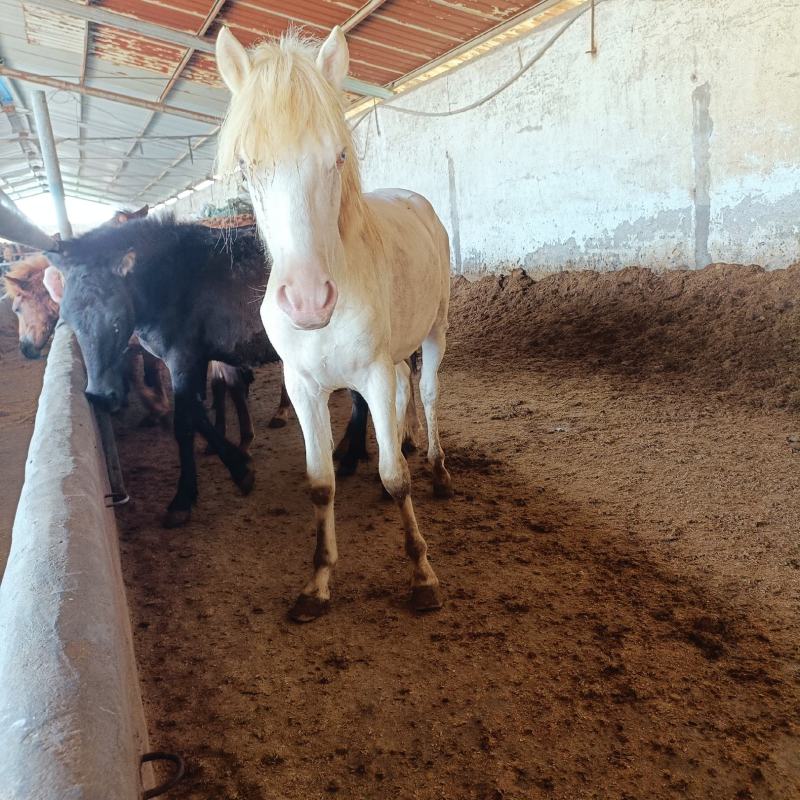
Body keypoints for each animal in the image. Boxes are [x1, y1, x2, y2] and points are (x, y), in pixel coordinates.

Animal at [216, 26, 453, 621]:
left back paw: (437, 467)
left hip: (436, 330)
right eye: (247, 166)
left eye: (338, 156)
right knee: (405, 391)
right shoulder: (304, 388)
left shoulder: (372, 373)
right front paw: (317, 583)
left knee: (428, 392)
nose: (306, 301)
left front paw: (422, 575)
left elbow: (395, 478)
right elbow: (320, 483)